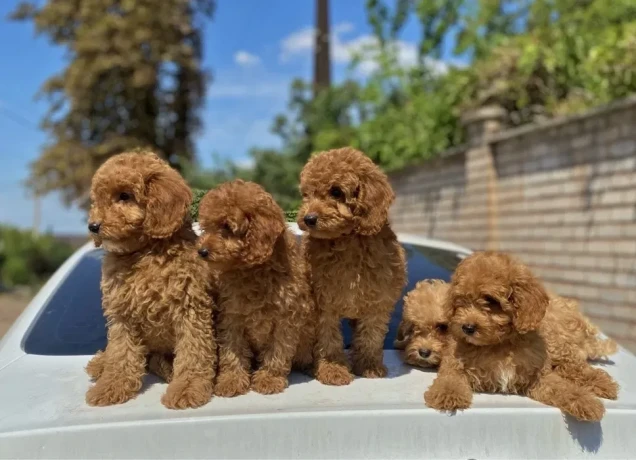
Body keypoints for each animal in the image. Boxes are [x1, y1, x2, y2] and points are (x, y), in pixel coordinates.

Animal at [84, 150, 216, 410]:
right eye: (97, 200)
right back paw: (101, 364)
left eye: (124, 196)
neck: (143, 252)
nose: (93, 226)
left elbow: (193, 352)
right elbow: (120, 353)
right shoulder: (122, 314)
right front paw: (111, 386)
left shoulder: (190, 309)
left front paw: (187, 388)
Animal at [195, 180, 312, 396]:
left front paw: (269, 378)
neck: (252, 270)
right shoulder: (232, 316)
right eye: (207, 227)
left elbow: (278, 350)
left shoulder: (286, 318)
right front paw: (231, 380)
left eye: (227, 227)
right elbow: (232, 349)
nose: (202, 251)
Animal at [298, 146, 408, 384]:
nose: (308, 219)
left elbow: (371, 335)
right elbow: (327, 336)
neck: (347, 240)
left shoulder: (378, 300)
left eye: (336, 192)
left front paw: (368, 366)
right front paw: (333, 368)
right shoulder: (323, 301)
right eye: (307, 194)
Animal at [424, 250, 620, 422]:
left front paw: (586, 402)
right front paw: (447, 394)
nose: (467, 327)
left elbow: (563, 388)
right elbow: (450, 377)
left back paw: (603, 383)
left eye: (490, 300)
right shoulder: (454, 361)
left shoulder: (538, 375)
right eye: (460, 300)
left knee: (574, 366)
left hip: (557, 346)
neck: (499, 343)